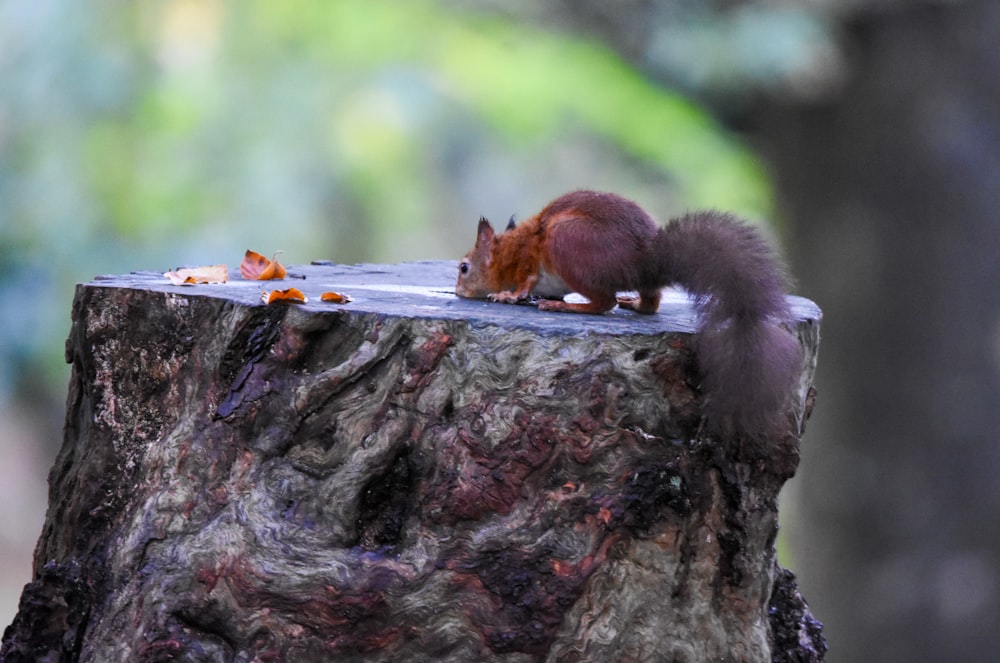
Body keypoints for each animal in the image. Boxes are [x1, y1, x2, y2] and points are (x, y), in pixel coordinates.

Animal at [456, 188, 804, 436]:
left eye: (463, 267)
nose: (458, 290)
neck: (507, 250)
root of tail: (644, 260)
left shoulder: (529, 257)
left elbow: (526, 281)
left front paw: (508, 295)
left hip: (565, 241)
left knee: (603, 303)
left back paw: (565, 304)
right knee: (650, 303)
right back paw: (633, 303)